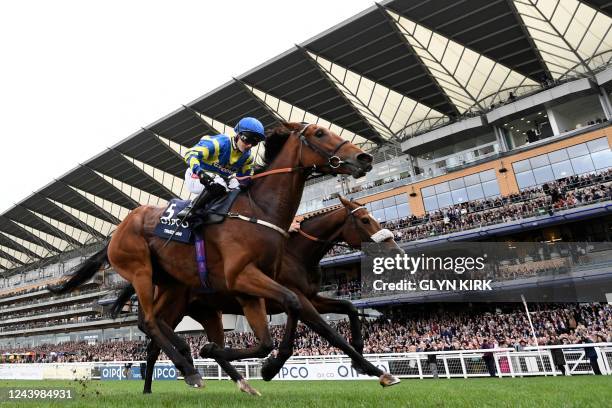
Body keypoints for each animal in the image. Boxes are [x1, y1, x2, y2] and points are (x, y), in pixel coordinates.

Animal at [49, 122, 372, 394]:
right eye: (320, 133)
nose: (364, 157)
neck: (260, 211)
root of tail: (115, 233)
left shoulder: (253, 290)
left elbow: (277, 334)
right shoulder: (245, 277)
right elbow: (307, 316)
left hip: (177, 291)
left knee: (154, 329)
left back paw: (198, 372)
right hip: (140, 270)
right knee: (149, 322)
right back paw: (189, 369)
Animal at [112, 196, 404, 394]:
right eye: (365, 220)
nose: (396, 250)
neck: (295, 252)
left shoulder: (309, 297)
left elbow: (348, 306)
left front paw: (361, 355)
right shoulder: (296, 297)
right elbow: (329, 333)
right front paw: (376, 370)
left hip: (205, 311)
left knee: (160, 339)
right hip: (177, 303)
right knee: (152, 328)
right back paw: (180, 368)